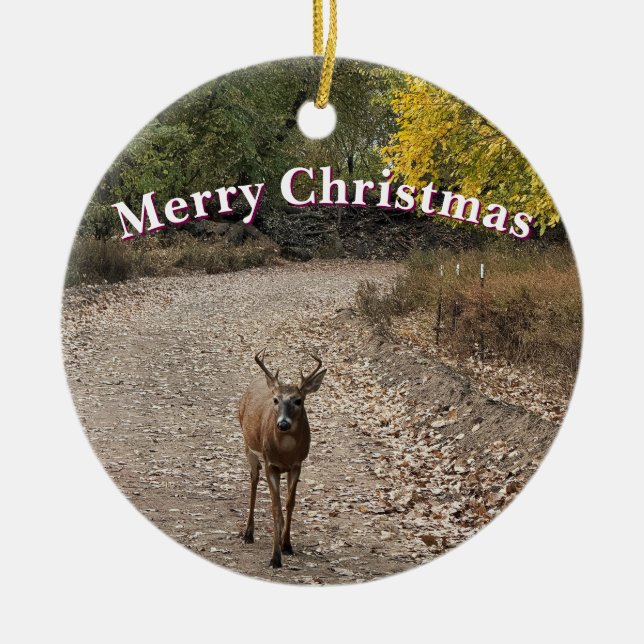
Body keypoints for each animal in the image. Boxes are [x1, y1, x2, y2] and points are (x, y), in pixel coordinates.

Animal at [239, 350, 326, 569]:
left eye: (298, 400)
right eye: (276, 400)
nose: (283, 424)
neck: (285, 452)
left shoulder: (297, 464)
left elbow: (289, 503)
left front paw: (287, 545)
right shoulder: (271, 465)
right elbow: (275, 507)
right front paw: (275, 557)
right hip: (248, 445)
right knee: (253, 479)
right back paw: (248, 534)